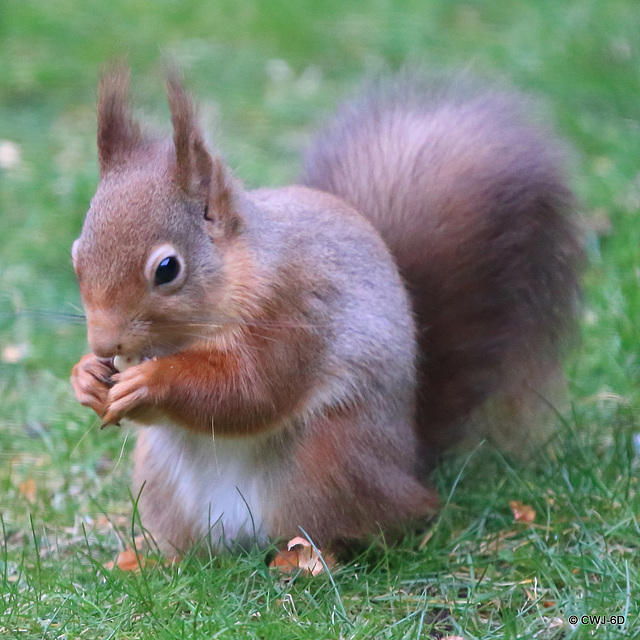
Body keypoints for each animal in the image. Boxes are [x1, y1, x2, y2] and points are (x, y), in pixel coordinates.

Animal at [69, 66, 580, 556]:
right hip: (162, 482)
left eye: (168, 269)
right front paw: (87, 376)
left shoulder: (294, 308)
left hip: (328, 463)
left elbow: (250, 391)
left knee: (346, 529)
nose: (104, 343)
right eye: (76, 255)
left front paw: (152, 381)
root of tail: (408, 469)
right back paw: (150, 557)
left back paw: (306, 560)